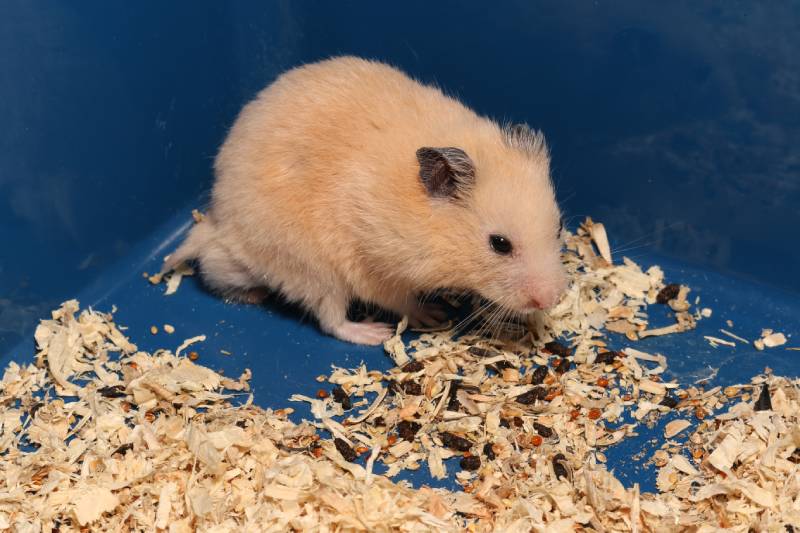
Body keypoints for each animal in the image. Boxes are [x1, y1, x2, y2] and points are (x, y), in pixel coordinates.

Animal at [164, 56, 567, 345]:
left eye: (560, 227)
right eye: (499, 244)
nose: (551, 298)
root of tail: (220, 218)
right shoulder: (374, 266)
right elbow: (397, 299)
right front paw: (433, 316)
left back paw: (254, 294)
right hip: (312, 268)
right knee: (330, 319)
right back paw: (373, 333)